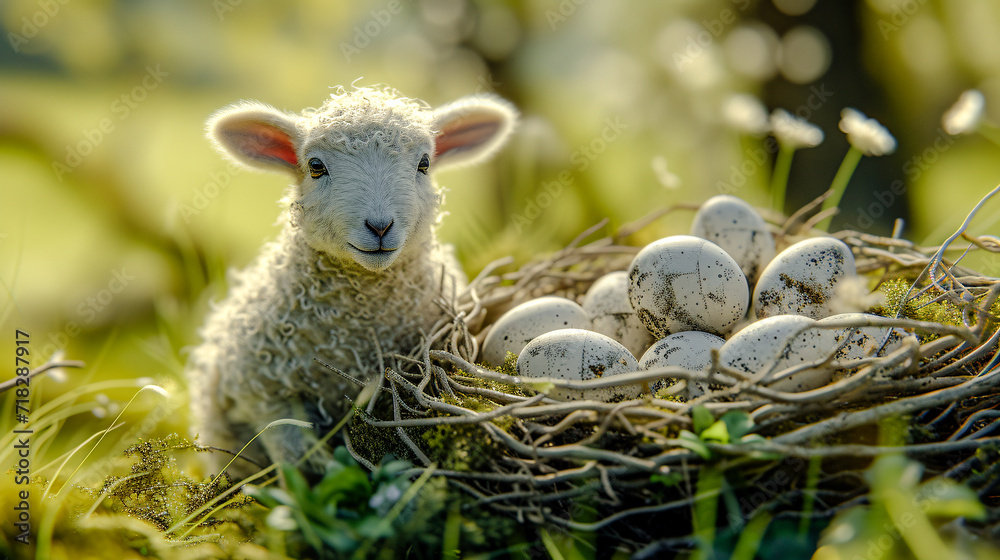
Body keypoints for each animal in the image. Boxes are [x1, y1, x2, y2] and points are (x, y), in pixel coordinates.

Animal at [186, 86, 517, 477]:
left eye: (424, 163)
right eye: (316, 166)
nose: (380, 226)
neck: (359, 320)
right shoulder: (261, 388)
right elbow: (292, 451)